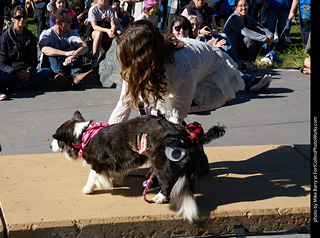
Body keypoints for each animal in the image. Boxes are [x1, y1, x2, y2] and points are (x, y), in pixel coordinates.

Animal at [50, 110, 225, 222]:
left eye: (57, 139)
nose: (50, 146)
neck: (84, 134)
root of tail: (186, 136)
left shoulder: (99, 162)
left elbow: (92, 175)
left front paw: (88, 188)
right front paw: (114, 181)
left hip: (160, 159)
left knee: (169, 181)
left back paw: (161, 197)